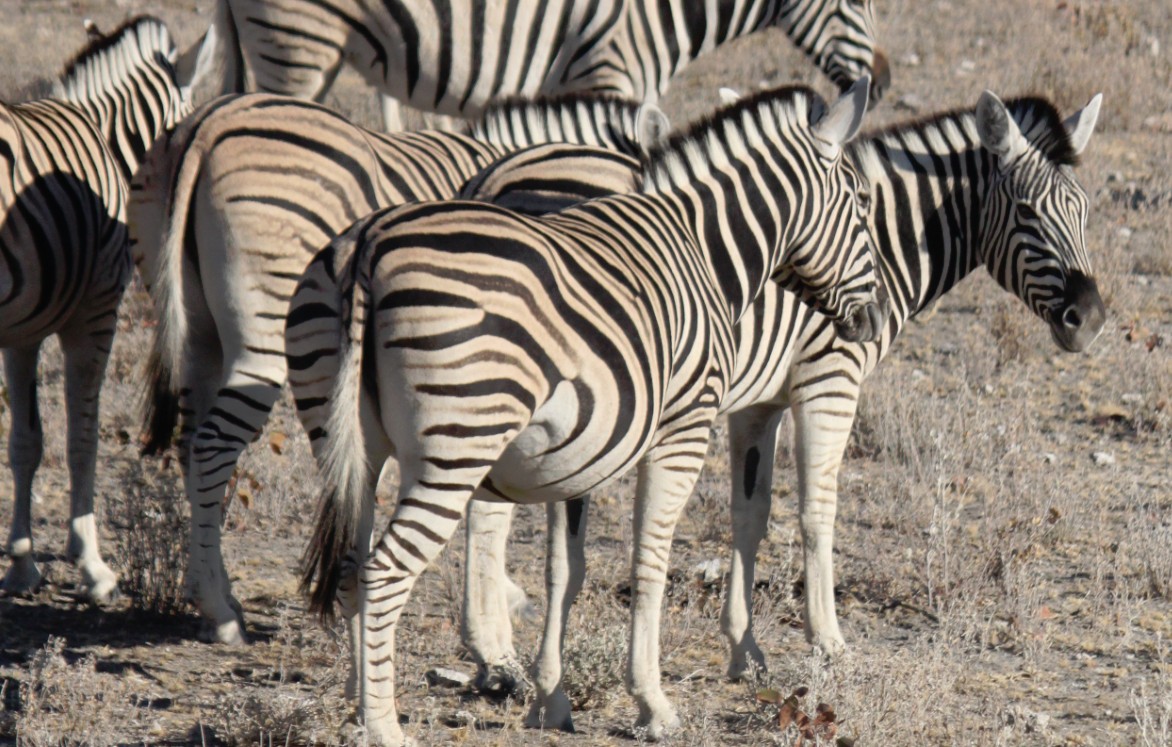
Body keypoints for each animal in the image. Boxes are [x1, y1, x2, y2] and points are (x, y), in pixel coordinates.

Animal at [0, 16, 189, 600]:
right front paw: (92, 564)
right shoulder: (96, 311)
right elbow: (83, 437)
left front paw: (21, 564)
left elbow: (27, 441)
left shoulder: (22, 331)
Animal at [130, 90, 670, 642]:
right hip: (264, 327)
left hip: (197, 328)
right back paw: (219, 612)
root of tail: (209, 123)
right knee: (214, 444)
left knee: (189, 442)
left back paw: (213, 594)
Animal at [288, 78, 881, 741]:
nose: (873, 319)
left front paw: (551, 701)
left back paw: (357, 705)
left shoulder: (581, 449)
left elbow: (563, 569)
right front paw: (653, 704)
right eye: (862, 204)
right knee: (383, 572)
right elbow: (649, 564)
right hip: (457, 445)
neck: (705, 249)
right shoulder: (683, 429)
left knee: (350, 567)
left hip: (344, 440)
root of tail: (367, 248)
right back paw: (385, 727)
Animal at [461, 87, 1101, 703]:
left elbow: (751, 514)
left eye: (1086, 211)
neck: (882, 242)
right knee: (487, 510)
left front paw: (745, 651)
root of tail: (489, 178)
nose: (1089, 320)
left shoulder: (757, 401)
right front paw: (829, 645)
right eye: (1027, 212)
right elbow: (817, 512)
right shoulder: (829, 379)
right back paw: (497, 657)